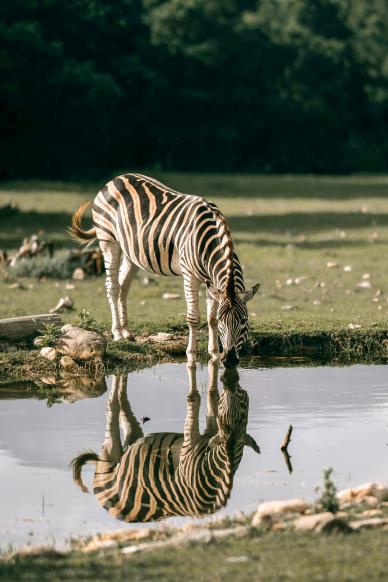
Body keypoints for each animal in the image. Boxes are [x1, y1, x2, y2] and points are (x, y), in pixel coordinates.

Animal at [69, 171, 260, 368]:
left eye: (244, 320)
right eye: (224, 321)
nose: (229, 361)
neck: (209, 241)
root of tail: (116, 178)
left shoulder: (212, 282)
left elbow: (211, 318)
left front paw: (214, 353)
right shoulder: (190, 275)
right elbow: (194, 318)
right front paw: (191, 354)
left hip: (132, 253)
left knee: (123, 286)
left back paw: (126, 332)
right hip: (108, 241)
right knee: (112, 286)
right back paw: (116, 333)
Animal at [71, 364, 260, 524]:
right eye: (242, 400)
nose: (231, 379)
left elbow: (212, 398)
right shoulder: (190, 446)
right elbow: (195, 399)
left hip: (133, 443)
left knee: (125, 410)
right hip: (110, 455)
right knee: (112, 407)